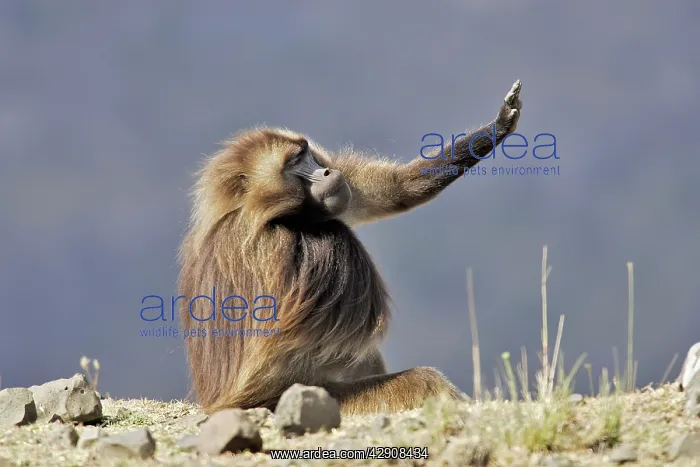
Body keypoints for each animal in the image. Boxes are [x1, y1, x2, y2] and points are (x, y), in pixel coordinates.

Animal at [178, 80, 523, 415]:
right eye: (293, 164)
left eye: (305, 154)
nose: (328, 172)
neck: (269, 215)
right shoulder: (272, 246)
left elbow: (397, 189)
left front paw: (501, 122)